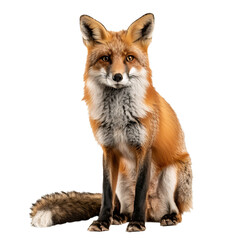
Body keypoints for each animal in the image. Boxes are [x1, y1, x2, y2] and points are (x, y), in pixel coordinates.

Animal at [31, 14, 192, 232]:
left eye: (129, 58)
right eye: (106, 58)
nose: (117, 76)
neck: (118, 119)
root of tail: (152, 214)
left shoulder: (144, 148)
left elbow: (140, 190)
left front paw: (137, 223)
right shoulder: (108, 150)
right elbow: (106, 192)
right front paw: (102, 222)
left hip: (172, 173)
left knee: (177, 210)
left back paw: (166, 217)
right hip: (123, 180)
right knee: (120, 205)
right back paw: (119, 217)